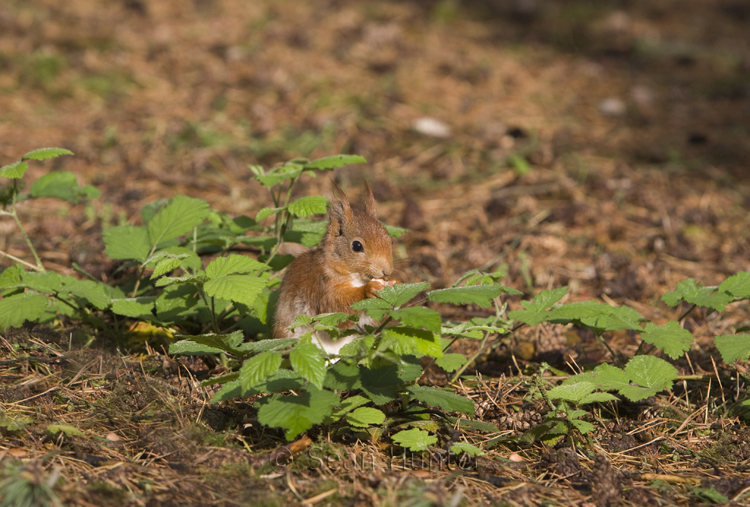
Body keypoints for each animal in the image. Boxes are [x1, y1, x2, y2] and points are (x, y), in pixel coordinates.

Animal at [272, 183, 397, 354]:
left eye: (390, 240)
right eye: (357, 246)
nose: (387, 272)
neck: (356, 277)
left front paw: (395, 283)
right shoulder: (321, 285)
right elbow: (336, 307)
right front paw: (369, 289)